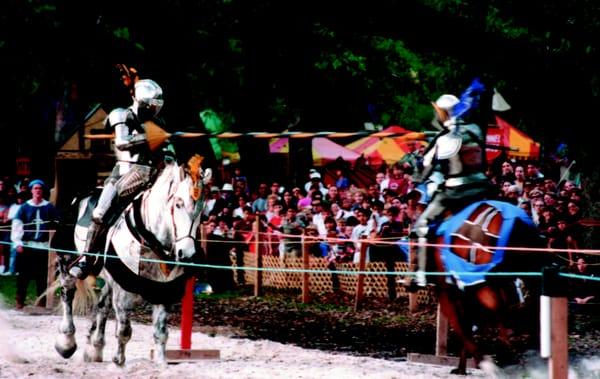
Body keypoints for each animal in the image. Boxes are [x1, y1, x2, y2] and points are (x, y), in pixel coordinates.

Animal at [54, 156, 209, 366]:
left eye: (202, 209)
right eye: (178, 204)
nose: (187, 254)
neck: (149, 237)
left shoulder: (164, 292)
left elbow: (161, 333)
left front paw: (161, 362)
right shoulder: (124, 290)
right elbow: (124, 330)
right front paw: (118, 363)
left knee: (103, 305)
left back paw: (95, 348)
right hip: (66, 262)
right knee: (67, 294)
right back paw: (66, 342)